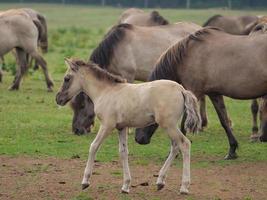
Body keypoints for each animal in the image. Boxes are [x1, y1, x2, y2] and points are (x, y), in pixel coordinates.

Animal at [56, 58, 202, 195]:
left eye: (67, 78)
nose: (58, 99)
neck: (106, 91)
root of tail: (182, 89)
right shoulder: (122, 127)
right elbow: (123, 152)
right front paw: (125, 186)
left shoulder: (107, 125)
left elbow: (93, 147)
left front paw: (85, 182)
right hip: (171, 125)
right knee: (175, 146)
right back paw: (160, 182)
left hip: (168, 125)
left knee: (184, 144)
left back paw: (184, 187)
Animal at [136, 27, 267, 160]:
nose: (139, 139)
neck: (188, 55)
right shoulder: (214, 94)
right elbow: (224, 121)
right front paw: (232, 150)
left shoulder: (193, 92)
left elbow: (183, 123)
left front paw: (175, 152)